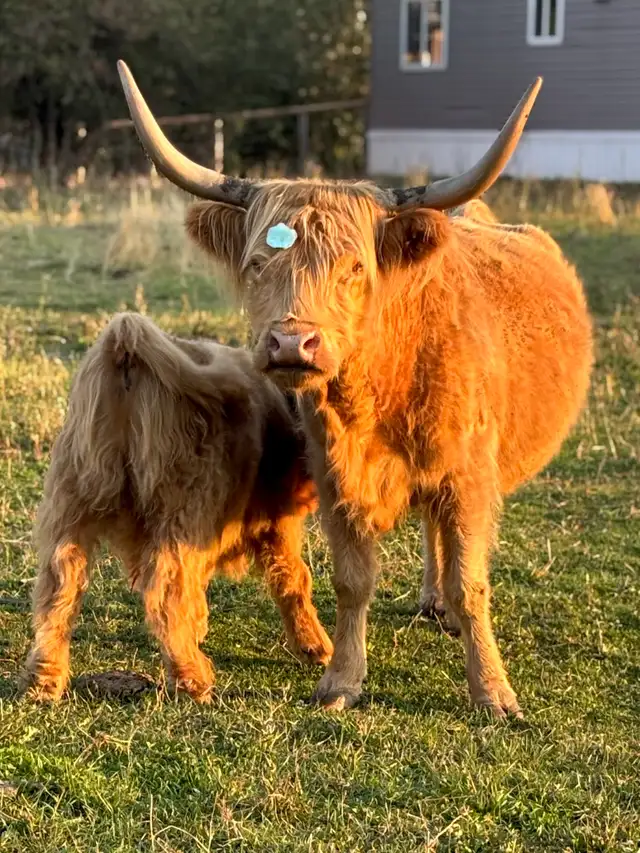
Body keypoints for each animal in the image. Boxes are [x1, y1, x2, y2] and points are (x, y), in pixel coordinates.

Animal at [21, 313, 332, 703]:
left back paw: (44, 680)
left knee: (57, 592)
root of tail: (125, 343)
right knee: (167, 593)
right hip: (181, 509)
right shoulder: (274, 522)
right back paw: (192, 679)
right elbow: (292, 578)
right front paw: (315, 648)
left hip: (72, 506)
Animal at [117, 63, 594, 718]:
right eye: (258, 264)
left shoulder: (467, 475)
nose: (292, 344)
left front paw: (493, 692)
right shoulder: (334, 473)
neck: (379, 396)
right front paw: (342, 680)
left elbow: (471, 582)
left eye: (355, 267)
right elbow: (352, 579)